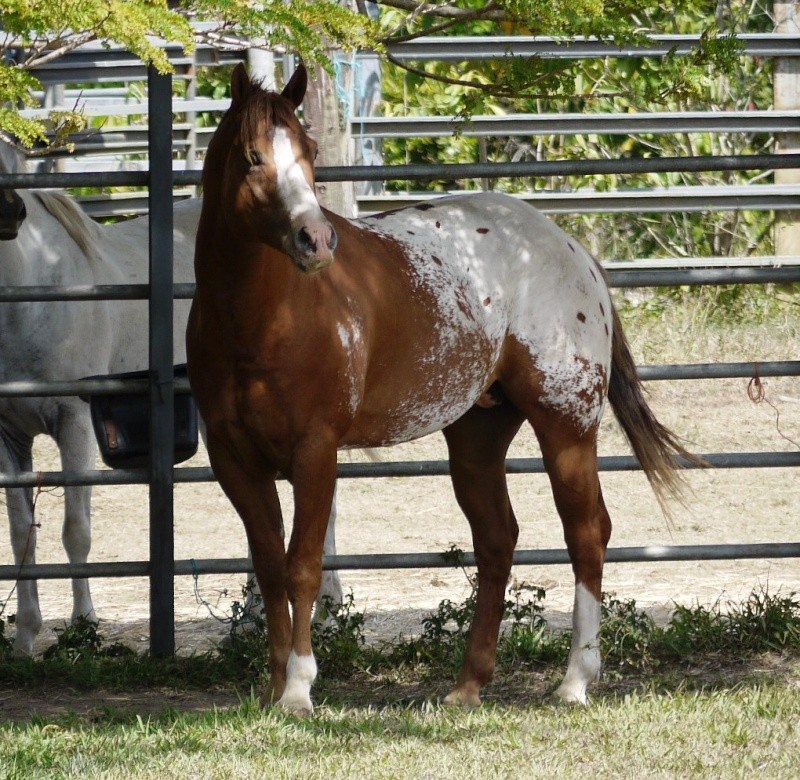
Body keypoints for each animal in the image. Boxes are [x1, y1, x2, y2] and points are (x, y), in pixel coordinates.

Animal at [0, 142, 340, 660]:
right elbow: (23, 537)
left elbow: (75, 532)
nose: (12, 213)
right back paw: (259, 621)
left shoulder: (74, 423)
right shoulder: (9, 438)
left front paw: (85, 628)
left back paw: (326, 616)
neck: (32, 292)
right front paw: (23, 639)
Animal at [186, 64, 692, 716]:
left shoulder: (315, 453)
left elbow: (303, 567)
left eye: (309, 151)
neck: (265, 319)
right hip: (477, 435)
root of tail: (572, 250)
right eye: (252, 157)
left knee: (587, 533)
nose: (315, 240)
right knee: (498, 540)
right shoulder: (234, 462)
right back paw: (469, 684)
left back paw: (575, 681)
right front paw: (274, 687)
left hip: (566, 426)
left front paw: (298, 688)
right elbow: (271, 569)